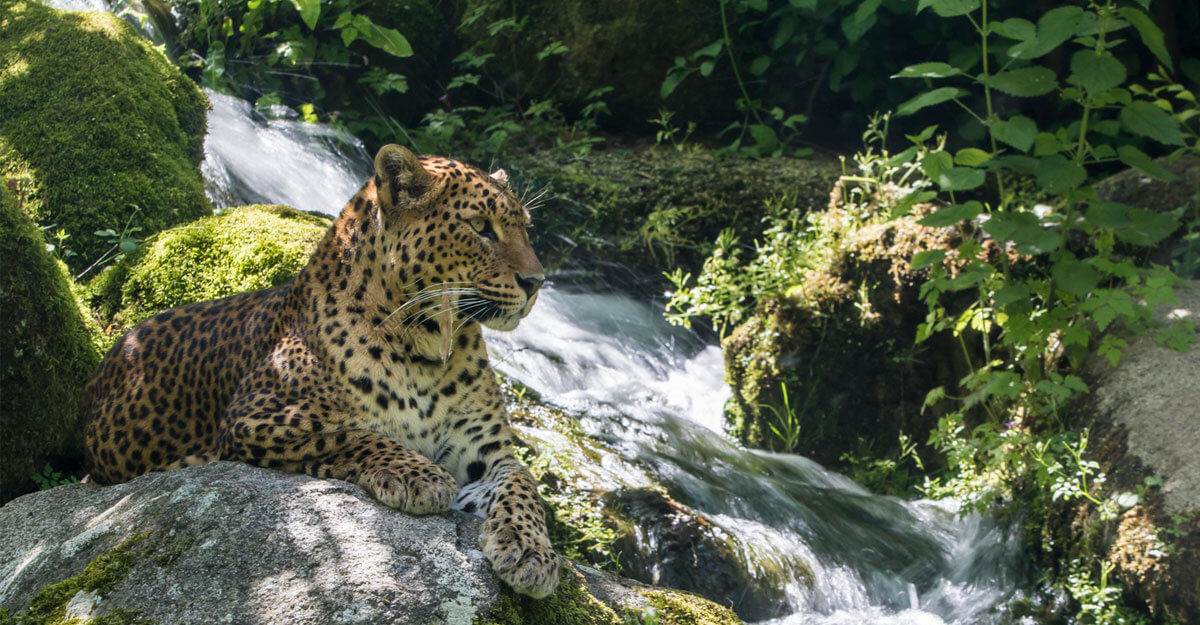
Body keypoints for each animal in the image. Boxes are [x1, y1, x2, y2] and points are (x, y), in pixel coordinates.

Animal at [81, 144, 561, 598]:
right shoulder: (253, 421)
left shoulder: (488, 455)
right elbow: (351, 436)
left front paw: (531, 550)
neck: (428, 348)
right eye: (480, 226)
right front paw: (418, 475)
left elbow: (524, 485)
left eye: (525, 228)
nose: (537, 283)